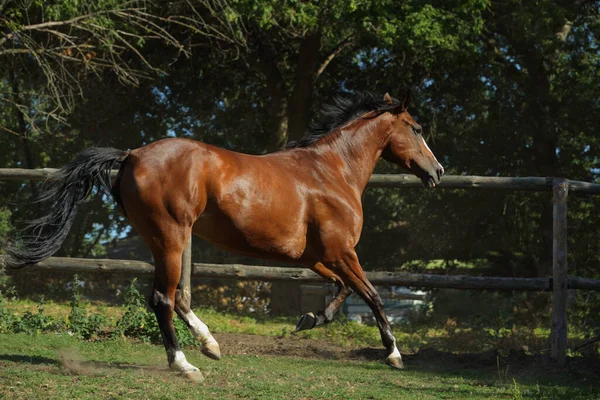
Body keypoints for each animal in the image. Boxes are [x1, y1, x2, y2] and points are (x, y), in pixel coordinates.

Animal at [7, 90, 442, 382]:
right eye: (418, 128)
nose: (437, 172)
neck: (331, 171)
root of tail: (132, 154)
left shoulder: (316, 257)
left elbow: (343, 290)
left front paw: (309, 319)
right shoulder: (342, 252)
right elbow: (372, 295)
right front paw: (394, 355)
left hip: (163, 240)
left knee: (177, 296)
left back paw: (210, 345)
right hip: (170, 236)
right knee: (163, 298)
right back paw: (185, 365)